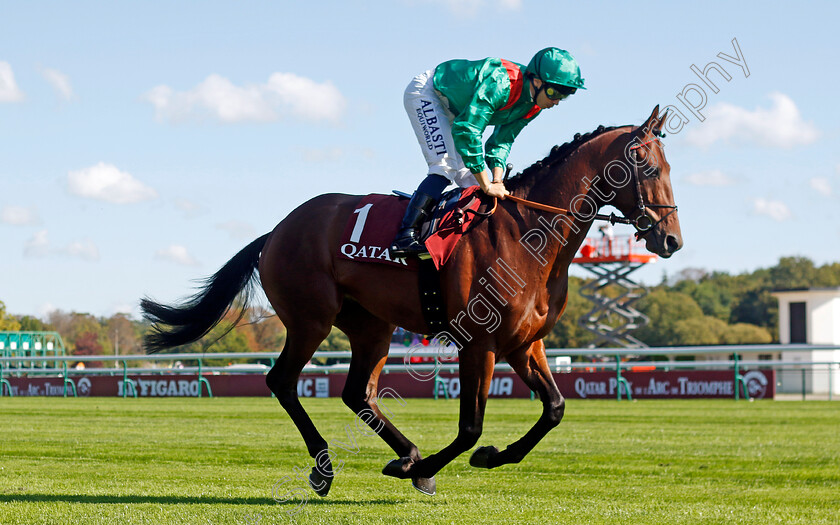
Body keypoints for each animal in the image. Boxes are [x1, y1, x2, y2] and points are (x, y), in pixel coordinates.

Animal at [143, 105, 684, 496]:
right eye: (647, 164)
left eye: (669, 165)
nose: (671, 239)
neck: (527, 235)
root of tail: (276, 231)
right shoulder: (479, 344)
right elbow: (469, 427)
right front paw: (449, 463)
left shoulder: (524, 344)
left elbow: (554, 409)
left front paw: (488, 457)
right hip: (310, 318)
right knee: (282, 381)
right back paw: (329, 469)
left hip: (371, 326)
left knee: (357, 393)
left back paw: (408, 456)